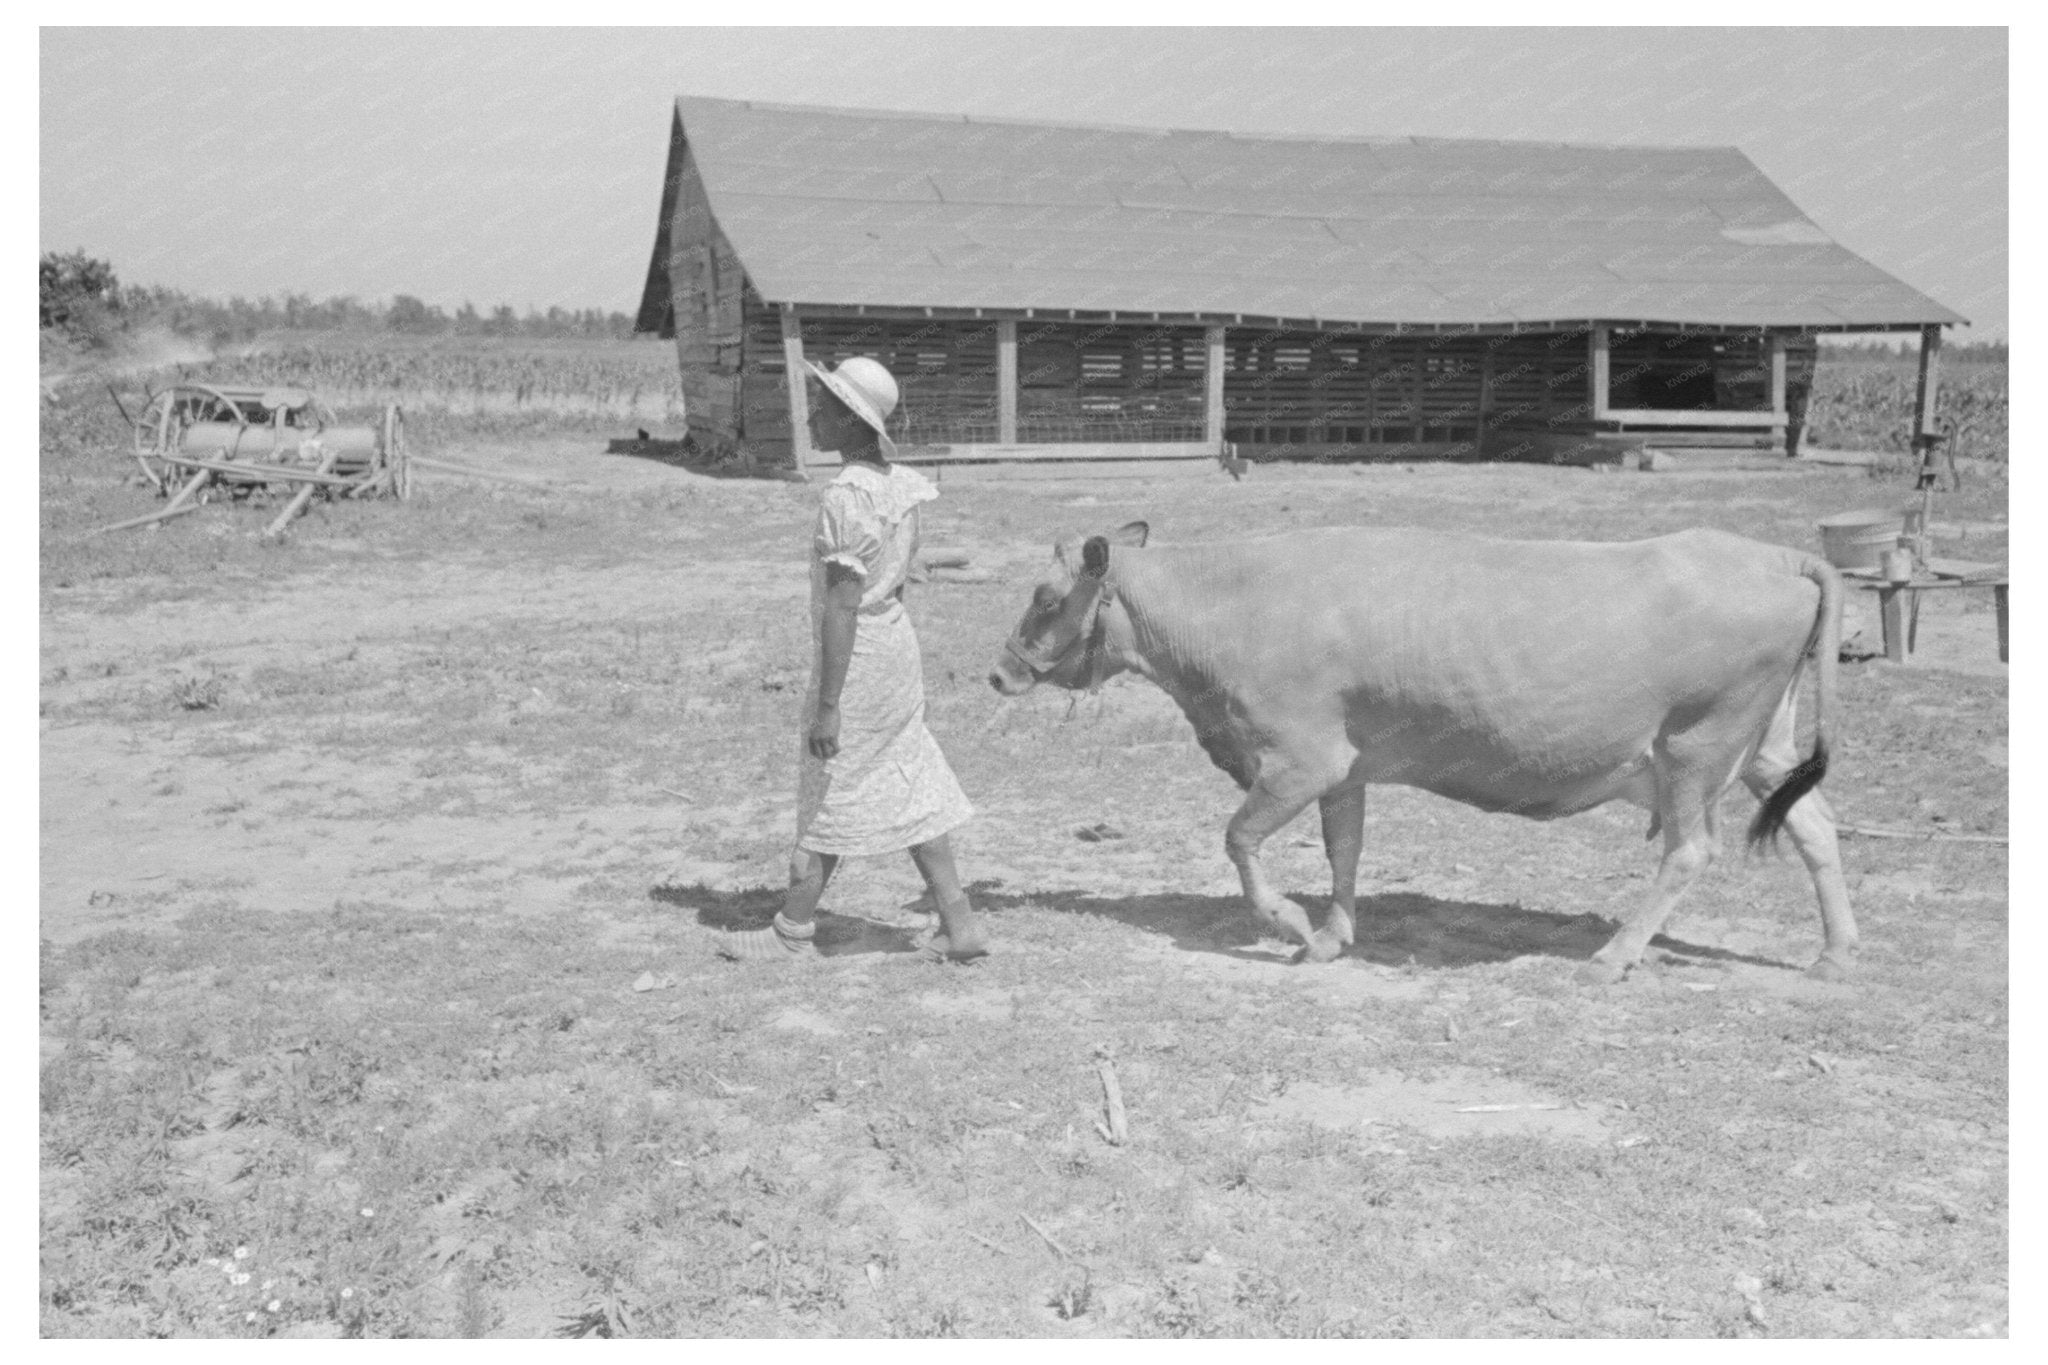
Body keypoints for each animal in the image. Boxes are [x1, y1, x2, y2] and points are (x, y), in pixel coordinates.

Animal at [989, 521, 1855, 984]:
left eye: (1045, 597)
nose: (999, 670)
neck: (1234, 604)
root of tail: (1770, 554)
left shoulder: (1297, 758)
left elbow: (1239, 838)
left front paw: (1289, 923)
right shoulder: (1345, 765)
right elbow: (1343, 849)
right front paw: (1332, 933)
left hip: (1694, 749)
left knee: (1690, 850)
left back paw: (1612, 954)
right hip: (1764, 747)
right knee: (1817, 827)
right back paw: (1836, 949)